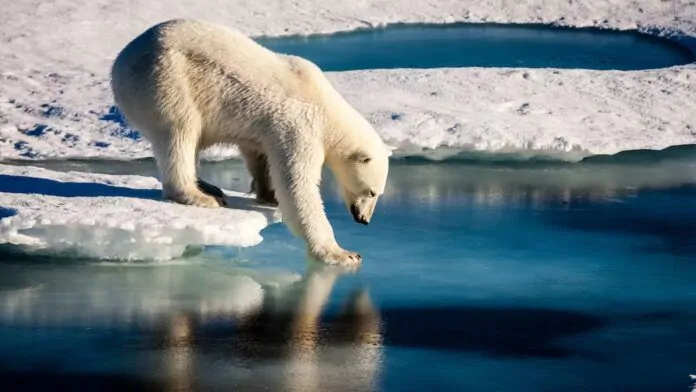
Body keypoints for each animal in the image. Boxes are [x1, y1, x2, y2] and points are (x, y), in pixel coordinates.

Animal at [111, 17, 388, 264]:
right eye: (372, 192)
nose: (364, 219)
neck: (326, 107)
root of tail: (119, 63)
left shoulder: (267, 128)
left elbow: (258, 154)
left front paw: (268, 194)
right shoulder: (300, 127)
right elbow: (298, 186)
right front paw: (342, 253)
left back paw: (208, 186)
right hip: (166, 80)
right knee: (180, 132)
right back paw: (200, 195)